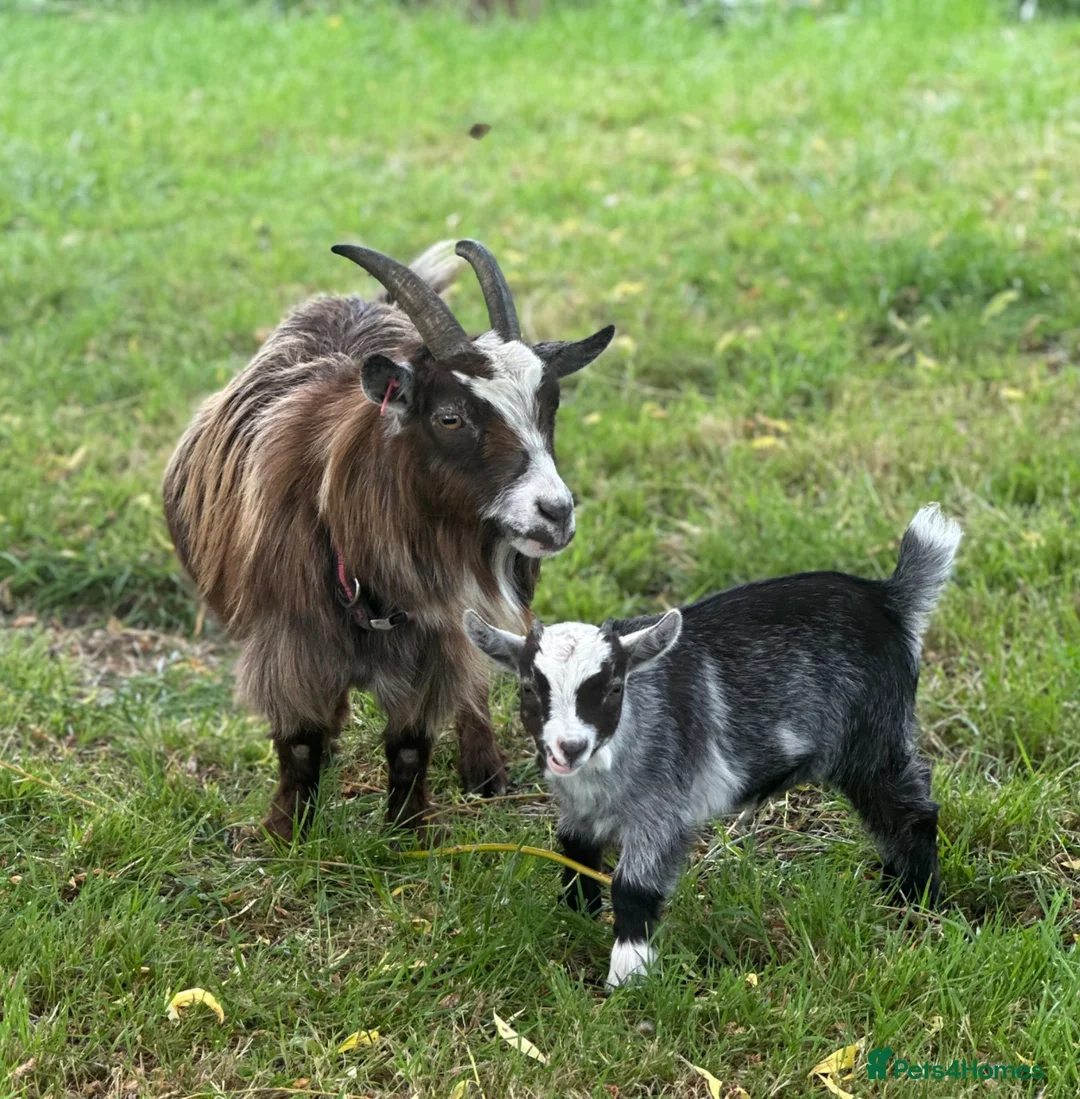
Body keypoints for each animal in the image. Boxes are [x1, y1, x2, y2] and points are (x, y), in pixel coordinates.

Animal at [163, 239, 613, 839]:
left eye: (551, 406)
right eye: (449, 417)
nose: (556, 513)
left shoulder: (436, 641)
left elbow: (410, 743)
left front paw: (407, 832)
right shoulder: (288, 642)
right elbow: (299, 743)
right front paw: (288, 833)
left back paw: (484, 771)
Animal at [465, 504, 961, 987]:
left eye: (614, 688)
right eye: (529, 688)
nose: (569, 747)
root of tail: (889, 598)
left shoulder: (661, 810)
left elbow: (634, 887)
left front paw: (628, 977)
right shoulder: (580, 812)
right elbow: (573, 848)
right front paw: (576, 916)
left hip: (872, 735)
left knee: (908, 809)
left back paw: (916, 898)